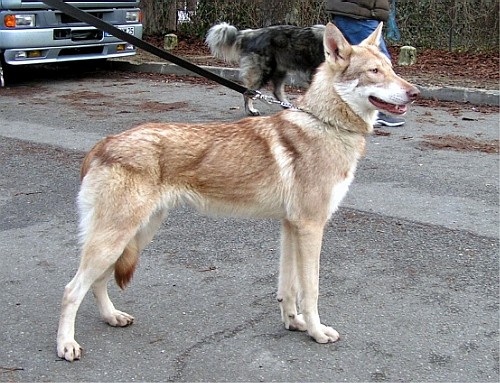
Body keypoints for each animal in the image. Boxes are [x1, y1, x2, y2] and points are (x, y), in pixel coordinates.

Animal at [56, 22, 420, 362]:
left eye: (390, 68)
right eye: (374, 72)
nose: (414, 92)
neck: (324, 124)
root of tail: (104, 143)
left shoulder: (291, 227)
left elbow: (288, 289)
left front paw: (294, 322)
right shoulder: (310, 228)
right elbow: (312, 290)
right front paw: (316, 332)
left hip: (135, 236)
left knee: (98, 282)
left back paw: (111, 317)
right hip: (116, 239)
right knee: (72, 289)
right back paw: (66, 345)